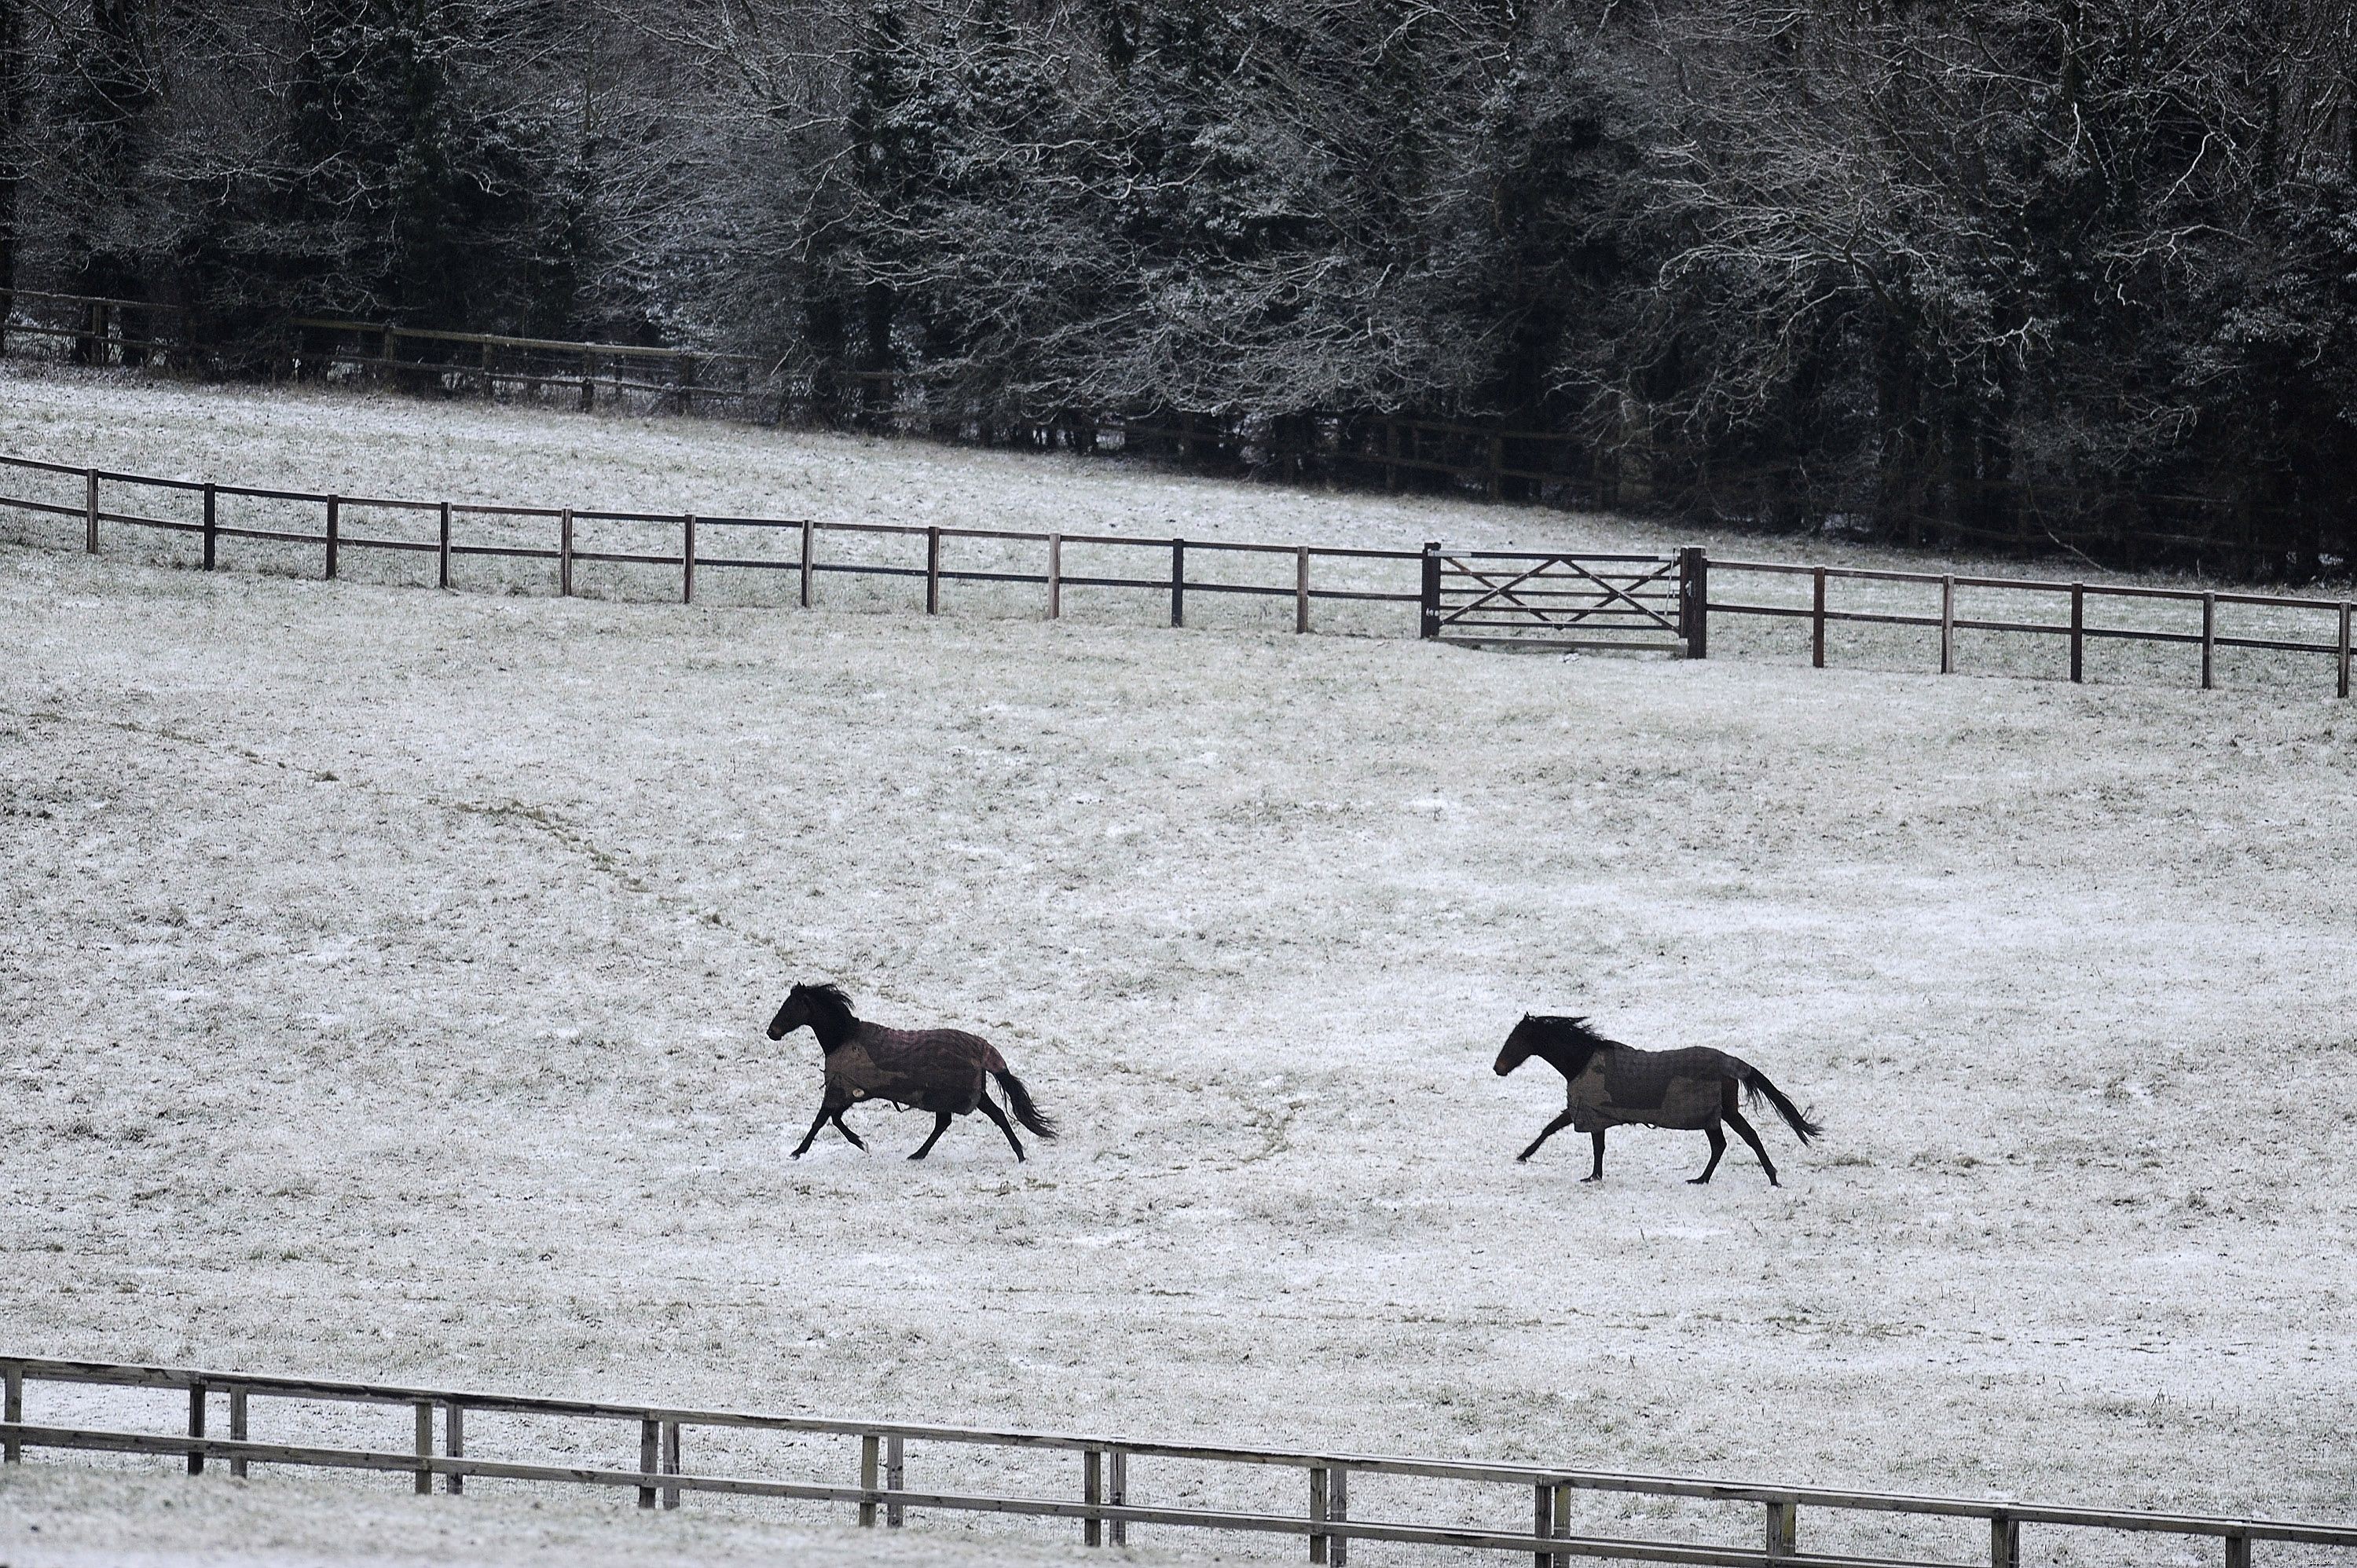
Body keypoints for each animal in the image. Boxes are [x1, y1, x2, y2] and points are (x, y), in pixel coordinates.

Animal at [766, 982, 1057, 1161]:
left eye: (790, 1007)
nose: (771, 1032)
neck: (844, 1038)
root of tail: (982, 1050)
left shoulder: (842, 1090)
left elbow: (822, 1120)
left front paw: (799, 1151)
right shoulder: (852, 1091)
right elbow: (834, 1119)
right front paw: (860, 1143)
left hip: (959, 1094)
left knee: (987, 1117)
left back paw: (1019, 1155)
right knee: (956, 1122)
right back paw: (920, 1154)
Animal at [1493, 1015, 1821, 1185]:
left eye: (1516, 1039)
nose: (1498, 1068)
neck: (1582, 1060)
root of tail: (1733, 1063)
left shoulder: (1589, 1111)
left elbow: (1562, 1132)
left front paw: (1526, 1156)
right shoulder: (1592, 1113)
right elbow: (1581, 1140)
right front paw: (1593, 1175)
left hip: (1718, 1113)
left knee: (1741, 1139)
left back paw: (1766, 1179)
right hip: (1718, 1115)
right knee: (1725, 1144)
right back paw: (1706, 1179)